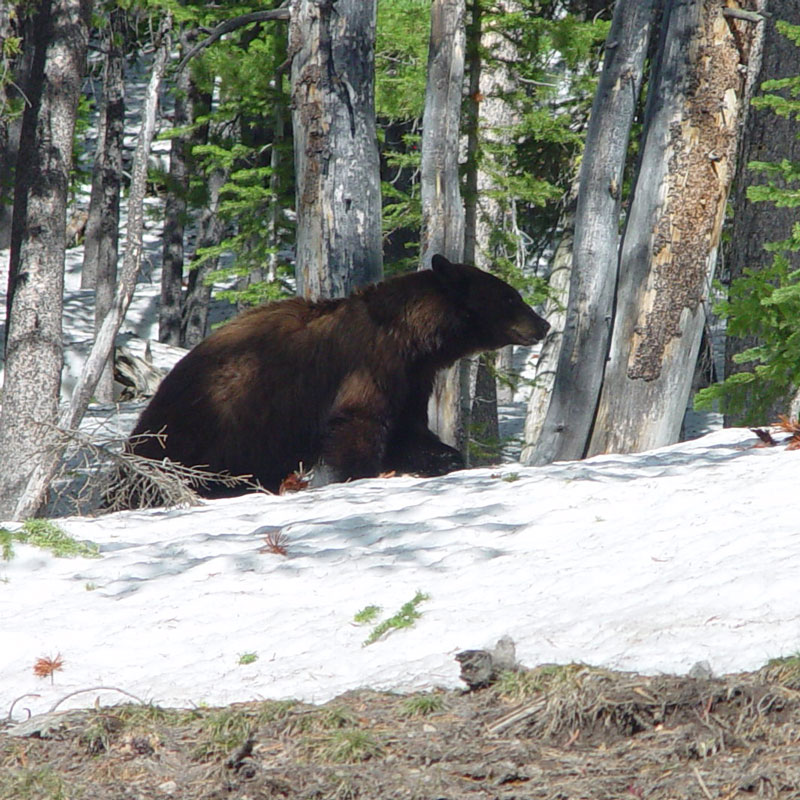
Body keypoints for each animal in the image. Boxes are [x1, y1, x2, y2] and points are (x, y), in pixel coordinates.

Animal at [125, 253, 552, 496]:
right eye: (511, 296)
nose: (544, 324)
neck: (411, 337)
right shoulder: (369, 367)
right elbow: (359, 424)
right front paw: (355, 476)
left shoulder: (411, 379)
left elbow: (410, 431)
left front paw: (446, 458)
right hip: (217, 422)